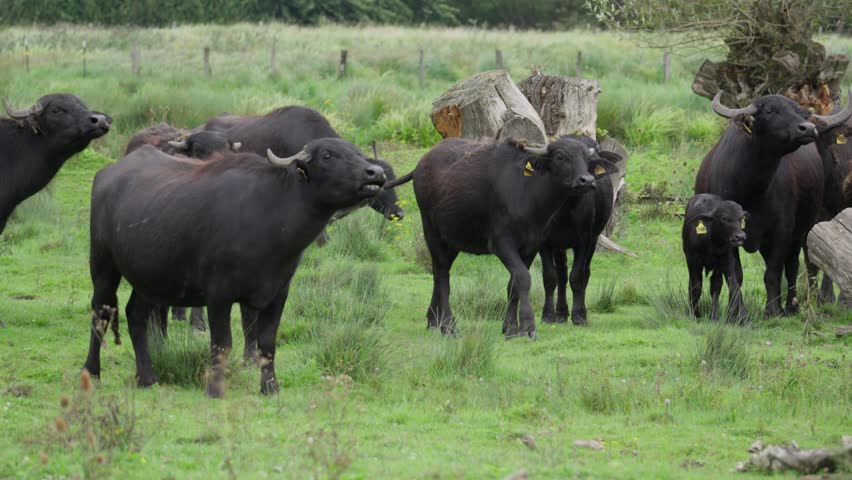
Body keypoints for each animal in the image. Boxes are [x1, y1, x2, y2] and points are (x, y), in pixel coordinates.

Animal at [84, 137, 386, 396]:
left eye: (357, 152)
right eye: (328, 155)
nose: (376, 173)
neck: (271, 216)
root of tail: (106, 174)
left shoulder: (278, 292)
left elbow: (266, 342)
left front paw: (270, 387)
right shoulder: (219, 295)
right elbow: (221, 343)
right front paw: (215, 389)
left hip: (149, 278)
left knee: (135, 316)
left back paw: (146, 377)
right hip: (103, 265)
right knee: (100, 315)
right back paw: (92, 372)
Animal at [384, 135, 612, 338]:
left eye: (587, 159)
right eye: (560, 156)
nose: (587, 180)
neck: (528, 193)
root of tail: (422, 163)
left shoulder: (531, 247)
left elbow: (514, 285)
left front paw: (510, 327)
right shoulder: (502, 245)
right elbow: (524, 279)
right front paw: (527, 326)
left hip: (452, 239)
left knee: (439, 272)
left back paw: (433, 321)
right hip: (431, 232)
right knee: (442, 277)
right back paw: (449, 326)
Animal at [540, 135, 620, 326]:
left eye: (588, 160)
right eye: (560, 157)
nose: (587, 180)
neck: (564, 212)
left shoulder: (584, 242)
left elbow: (577, 277)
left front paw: (579, 315)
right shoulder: (544, 243)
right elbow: (550, 277)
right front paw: (548, 315)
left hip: (594, 239)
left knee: (585, 272)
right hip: (559, 246)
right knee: (561, 274)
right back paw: (561, 313)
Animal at [696, 90, 848, 316]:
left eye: (801, 112)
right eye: (769, 110)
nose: (808, 128)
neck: (751, 191)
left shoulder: (782, 231)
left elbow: (774, 272)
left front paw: (772, 310)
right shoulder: (727, 233)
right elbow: (735, 274)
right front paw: (738, 312)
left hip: (803, 227)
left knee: (793, 266)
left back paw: (791, 306)